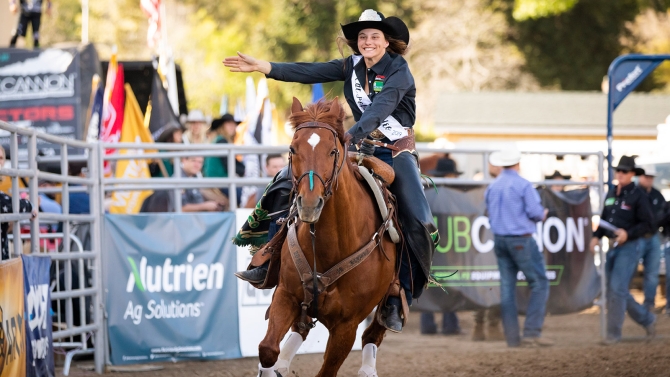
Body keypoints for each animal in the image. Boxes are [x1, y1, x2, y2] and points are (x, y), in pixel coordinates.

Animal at [256, 97, 394, 376]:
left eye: (332, 151)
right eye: (293, 149)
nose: (309, 204)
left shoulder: (346, 327)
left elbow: (328, 368)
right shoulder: (285, 295)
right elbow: (268, 350)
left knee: (373, 335)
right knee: (299, 331)